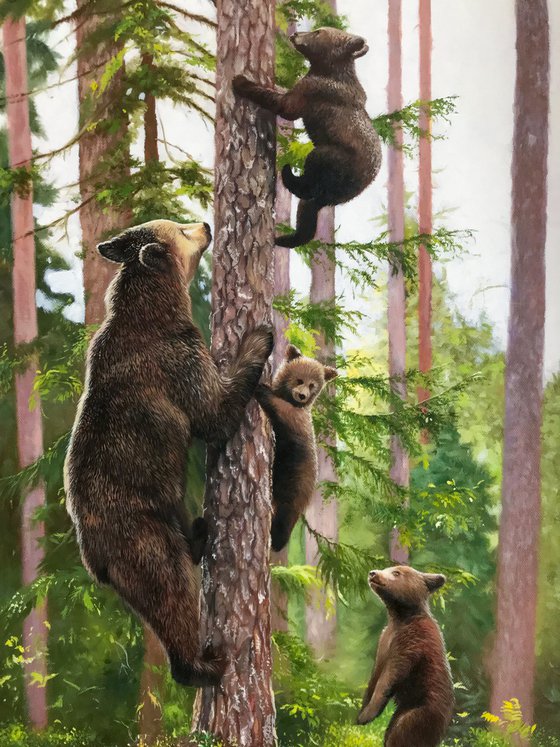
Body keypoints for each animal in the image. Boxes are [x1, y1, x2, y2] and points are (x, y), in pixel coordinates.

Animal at [64, 222, 274, 688]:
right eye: (179, 228)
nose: (206, 224)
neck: (155, 309)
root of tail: (92, 561)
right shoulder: (175, 360)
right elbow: (213, 412)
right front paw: (259, 337)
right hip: (142, 536)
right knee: (171, 592)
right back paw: (203, 663)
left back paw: (200, 531)